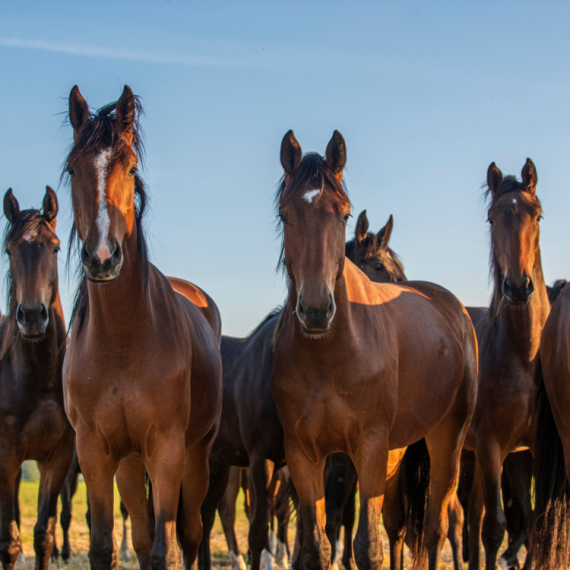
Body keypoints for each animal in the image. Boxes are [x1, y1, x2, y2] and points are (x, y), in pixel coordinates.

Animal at [62, 85, 222, 568]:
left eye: (130, 167)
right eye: (72, 169)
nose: (102, 257)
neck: (122, 339)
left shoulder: (167, 449)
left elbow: (164, 550)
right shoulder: (95, 452)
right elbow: (105, 545)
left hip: (196, 454)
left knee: (189, 534)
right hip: (131, 463)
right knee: (140, 532)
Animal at [270, 130, 474, 568]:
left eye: (344, 214)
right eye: (284, 215)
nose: (316, 310)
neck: (329, 357)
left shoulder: (369, 448)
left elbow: (366, 547)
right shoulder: (304, 456)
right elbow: (318, 545)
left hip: (447, 441)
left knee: (436, 529)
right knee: (399, 527)